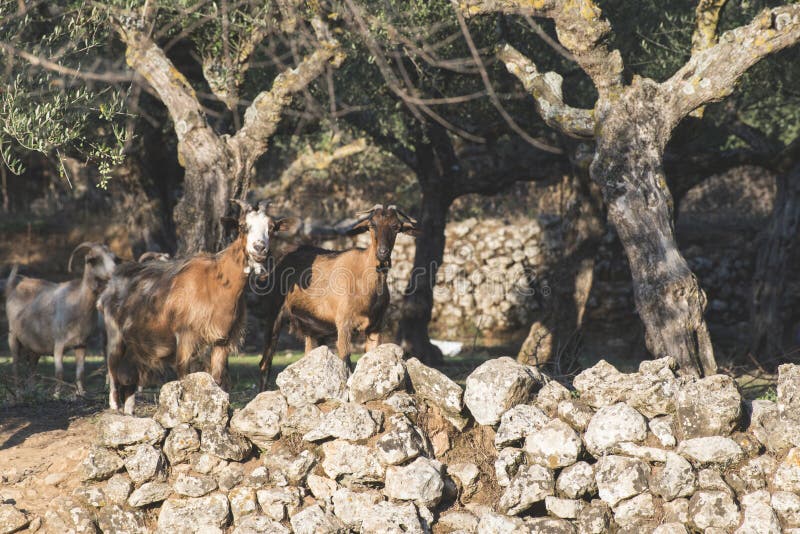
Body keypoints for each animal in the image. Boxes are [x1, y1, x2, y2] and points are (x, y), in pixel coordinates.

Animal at [5, 242, 118, 395]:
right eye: (94, 259)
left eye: (114, 257)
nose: (114, 272)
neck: (78, 305)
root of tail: (15, 287)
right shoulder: (58, 344)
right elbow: (59, 373)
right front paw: (56, 395)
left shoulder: (81, 344)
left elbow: (80, 373)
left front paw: (81, 393)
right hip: (13, 337)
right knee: (15, 366)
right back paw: (18, 391)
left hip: (34, 346)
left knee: (32, 368)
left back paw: (31, 390)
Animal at [100, 199, 295, 413]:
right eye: (243, 227)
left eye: (272, 228)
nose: (259, 248)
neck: (216, 283)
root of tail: (111, 283)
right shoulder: (185, 336)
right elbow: (183, 376)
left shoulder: (222, 339)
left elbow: (217, 379)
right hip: (115, 335)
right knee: (113, 374)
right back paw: (114, 408)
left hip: (136, 345)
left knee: (129, 380)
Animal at [258, 204, 419, 390]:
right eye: (371, 225)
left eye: (396, 226)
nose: (383, 253)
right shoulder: (344, 324)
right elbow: (346, 364)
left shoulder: (376, 327)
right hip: (274, 313)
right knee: (265, 363)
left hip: (313, 329)